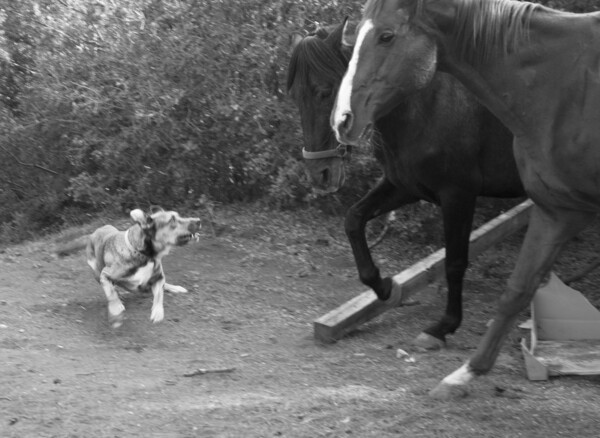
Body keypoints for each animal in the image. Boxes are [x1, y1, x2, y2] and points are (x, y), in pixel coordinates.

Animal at [288, 22, 524, 350]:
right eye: (296, 96)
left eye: (325, 92)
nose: (319, 173)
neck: (424, 106)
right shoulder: (406, 186)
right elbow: (354, 219)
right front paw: (384, 287)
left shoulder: (458, 196)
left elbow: (455, 261)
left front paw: (444, 326)